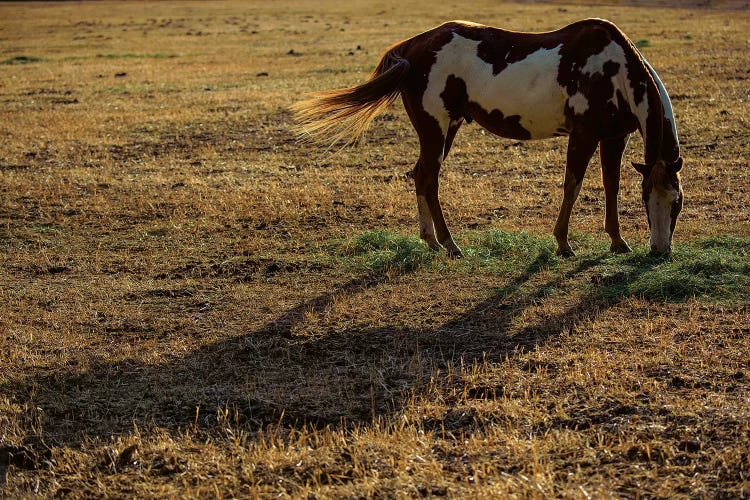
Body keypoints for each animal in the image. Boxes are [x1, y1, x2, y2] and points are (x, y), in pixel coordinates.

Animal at [296, 18, 688, 258]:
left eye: (677, 202)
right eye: (649, 202)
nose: (660, 250)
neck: (613, 69)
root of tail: (411, 47)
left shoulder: (615, 137)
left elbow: (611, 186)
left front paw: (617, 241)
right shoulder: (584, 135)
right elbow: (572, 186)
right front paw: (563, 243)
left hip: (448, 127)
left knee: (421, 176)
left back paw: (432, 241)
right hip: (435, 128)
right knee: (428, 178)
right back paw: (449, 244)